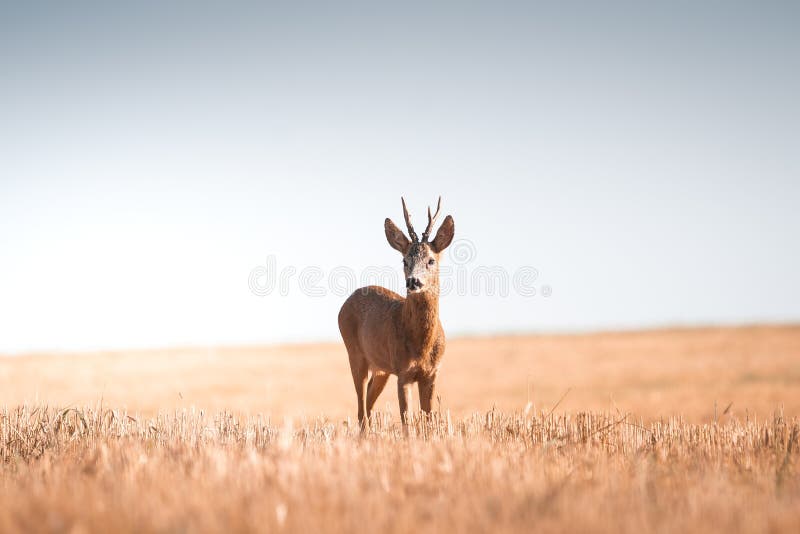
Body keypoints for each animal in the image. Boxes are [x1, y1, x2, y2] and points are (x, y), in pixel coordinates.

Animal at [334, 198, 454, 432]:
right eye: (404, 261)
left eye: (431, 260)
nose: (413, 281)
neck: (422, 347)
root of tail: (347, 301)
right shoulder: (403, 372)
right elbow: (407, 421)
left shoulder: (432, 373)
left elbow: (429, 420)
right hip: (355, 353)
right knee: (361, 408)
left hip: (381, 369)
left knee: (369, 403)